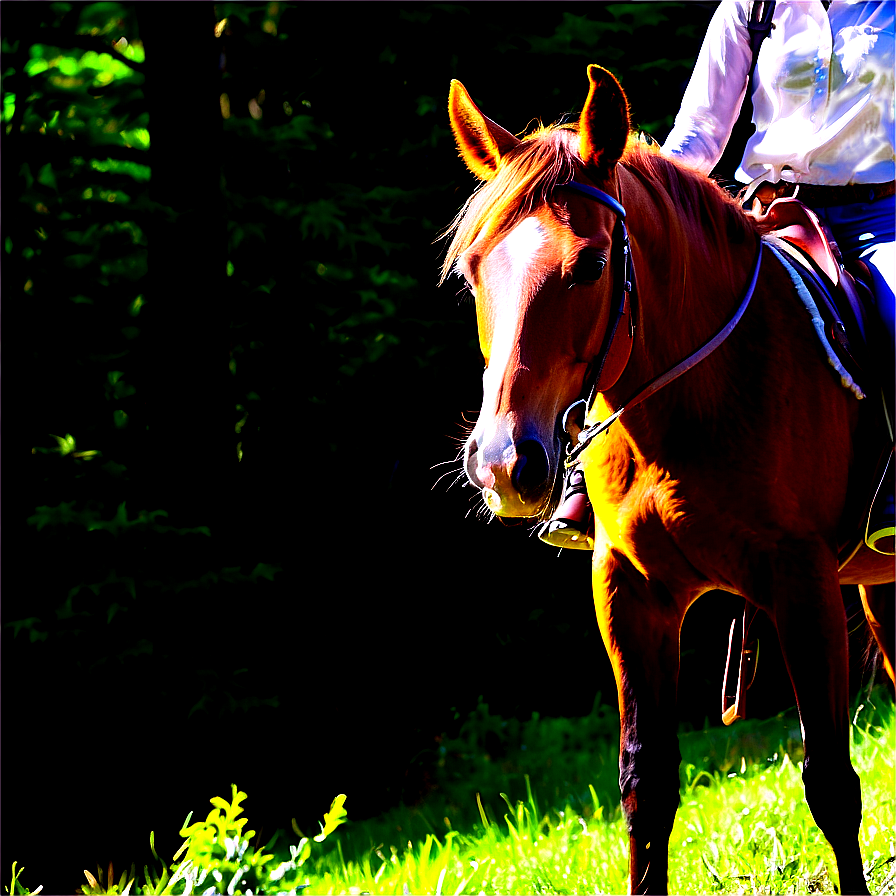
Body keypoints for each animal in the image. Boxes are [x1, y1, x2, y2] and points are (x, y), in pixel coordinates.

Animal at [444, 65, 892, 896]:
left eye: (590, 265)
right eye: (474, 270)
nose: (503, 463)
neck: (692, 408)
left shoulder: (805, 586)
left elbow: (831, 783)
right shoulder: (628, 592)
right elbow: (646, 790)